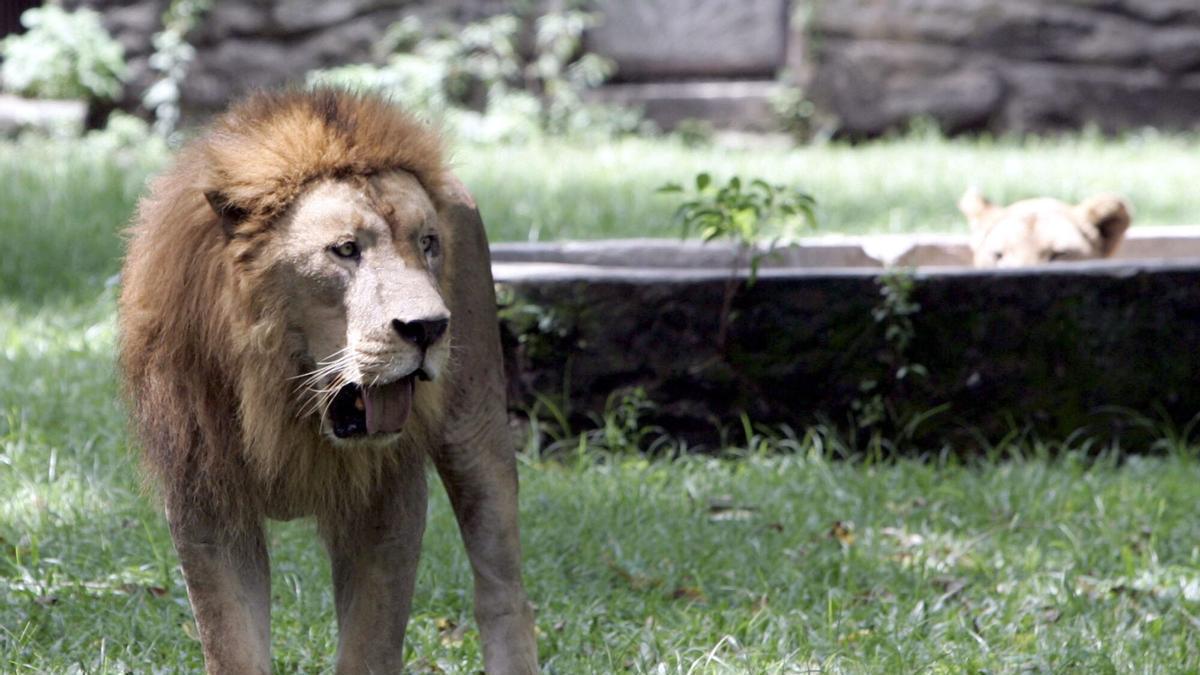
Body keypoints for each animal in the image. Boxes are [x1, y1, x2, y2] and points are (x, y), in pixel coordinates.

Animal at [117, 89, 538, 674]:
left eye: (429, 243)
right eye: (345, 250)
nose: (429, 327)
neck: (282, 394)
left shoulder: (385, 501)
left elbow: (369, 646)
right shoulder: (204, 498)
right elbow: (232, 645)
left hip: (475, 427)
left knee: (503, 588)